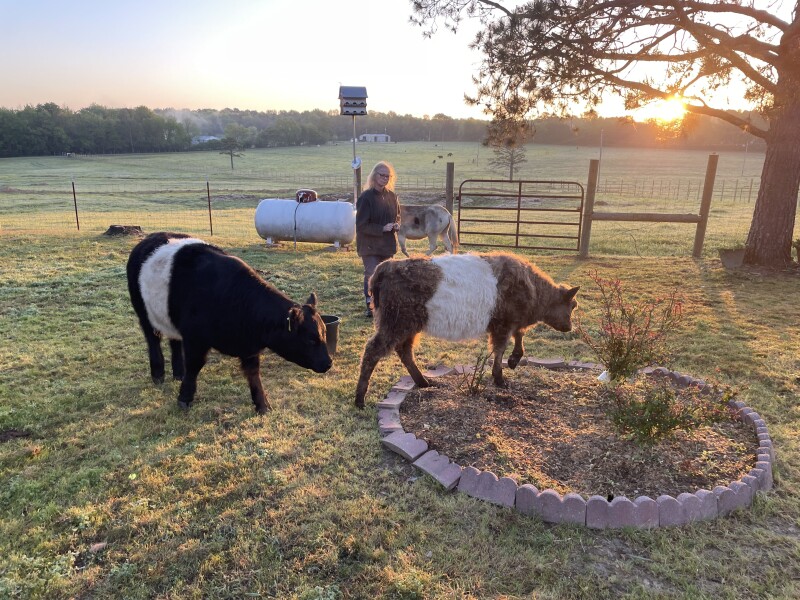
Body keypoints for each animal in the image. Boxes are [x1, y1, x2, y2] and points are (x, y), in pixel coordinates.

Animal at [126, 232, 332, 414]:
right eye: (310, 340)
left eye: (324, 334)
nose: (328, 363)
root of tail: (149, 239)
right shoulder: (195, 338)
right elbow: (194, 365)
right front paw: (185, 398)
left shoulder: (249, 348)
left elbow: (253, 374)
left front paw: (262, 405)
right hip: (143, 312)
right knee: (153, 340)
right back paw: (158, 374)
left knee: (174, 341)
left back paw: (178, 373)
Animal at [354, 252, 579, 408]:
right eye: (573, 305)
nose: (569, 327)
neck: (532, 288)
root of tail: (387, 266)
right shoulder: (502, 325)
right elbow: (500, 350)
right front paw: (499, 378)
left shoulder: (510, 323)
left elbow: (519, 337)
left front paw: (514, 360)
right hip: (395, 324)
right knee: (373, 351)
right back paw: (360, 399)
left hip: (408, 326)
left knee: (404, 351)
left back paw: (423, 382)